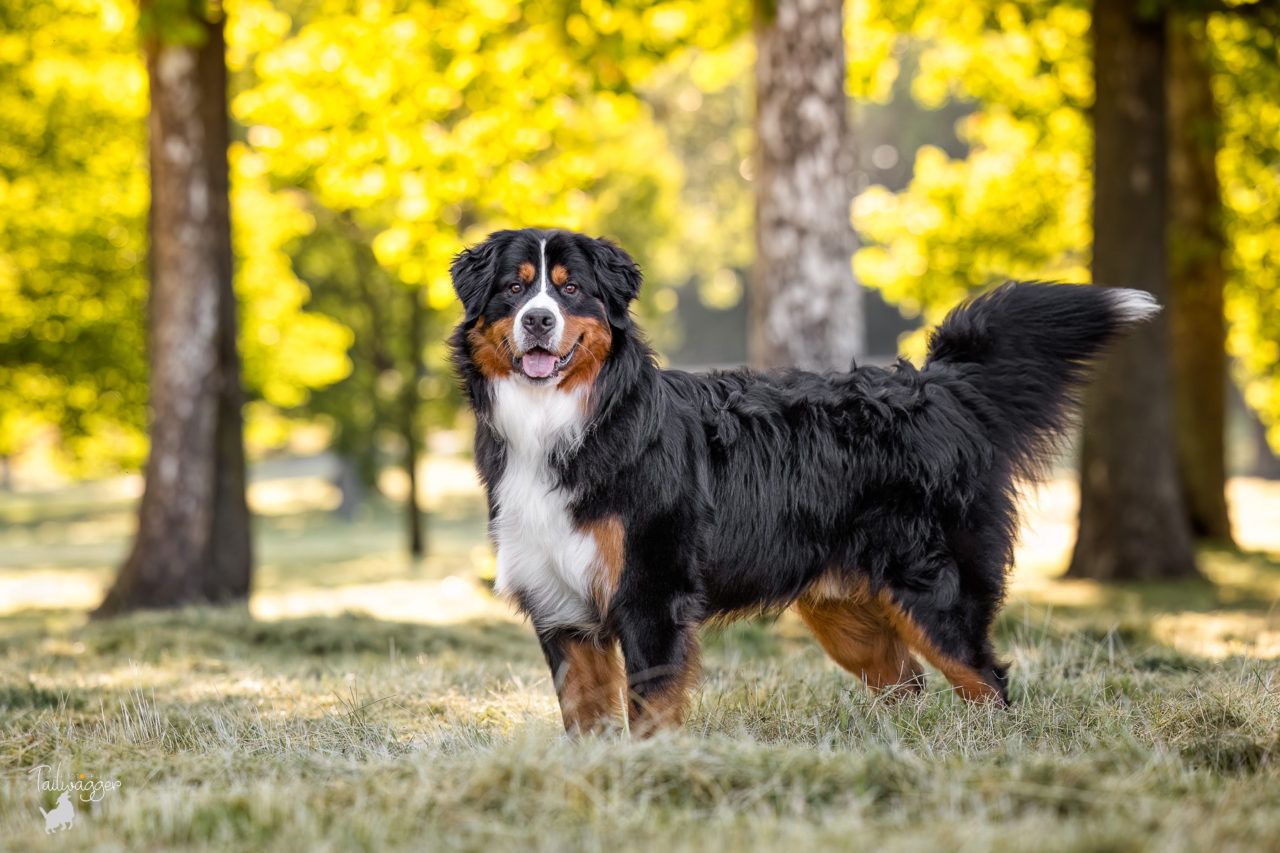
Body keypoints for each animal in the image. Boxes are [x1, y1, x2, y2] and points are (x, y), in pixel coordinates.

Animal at [450, 229, 1162, 732]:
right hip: (845, 611)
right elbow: (584, 715)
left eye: (570, 291)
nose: (538, 320)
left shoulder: (650, 594)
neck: (568, 421)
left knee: (986, 682)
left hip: (938, 596)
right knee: (906, 683)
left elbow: (649, 711)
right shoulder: (561, 605)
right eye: (514, 290)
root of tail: (936, 385)